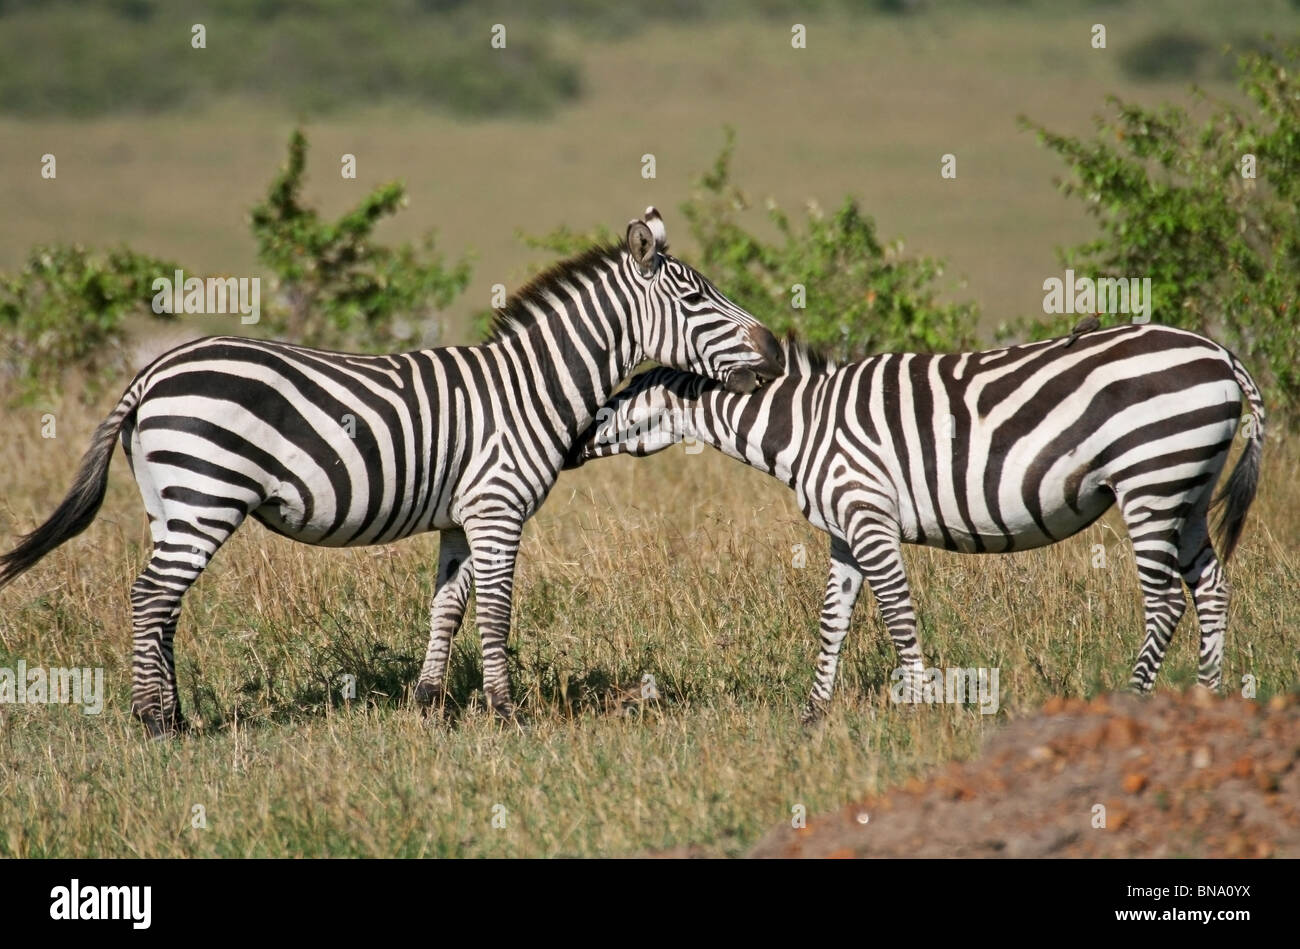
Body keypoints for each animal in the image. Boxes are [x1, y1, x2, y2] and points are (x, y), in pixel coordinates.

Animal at [0, 210, 780, 733]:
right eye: (696, 298)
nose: (774, 349)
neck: (530, 386)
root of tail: (153, 371)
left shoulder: (463, 518)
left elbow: (448, 606)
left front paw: (429, 706)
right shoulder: (498, 508)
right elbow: (496, 610)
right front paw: (506, 713)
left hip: (171, 501)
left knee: (164, 603)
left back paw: (180, 716)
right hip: (204, 492)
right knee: (150, 596)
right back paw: (155, 723)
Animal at [569, 323, 1258, 717]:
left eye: (617, 399)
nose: (570, 442)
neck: (804, 426)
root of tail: (1221, 354)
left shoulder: (869, 516)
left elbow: (898, 614)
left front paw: (922, 706)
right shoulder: (846, 528)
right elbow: (833, 621)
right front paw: (812, 719)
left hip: (1151, 479)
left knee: (1165, 602)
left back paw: (1133, 701)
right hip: (1185, 489)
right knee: (1212, 589)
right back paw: (1207, 697)